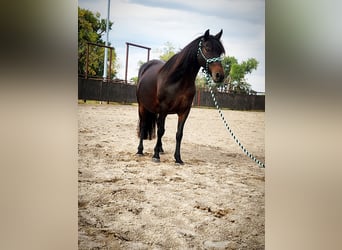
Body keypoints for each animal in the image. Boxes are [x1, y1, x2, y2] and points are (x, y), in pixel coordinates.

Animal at [136, 29, 227, 164]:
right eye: (207, 48)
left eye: (220, 52)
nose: (219, 75)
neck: (178, 81)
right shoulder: (163, 109)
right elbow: (161, 131)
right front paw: (155, 156)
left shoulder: (184, 111)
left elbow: (179, 134)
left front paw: (178, 158)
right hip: (142, 106)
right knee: (143, 126)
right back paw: (140, 150)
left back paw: (160, 149)